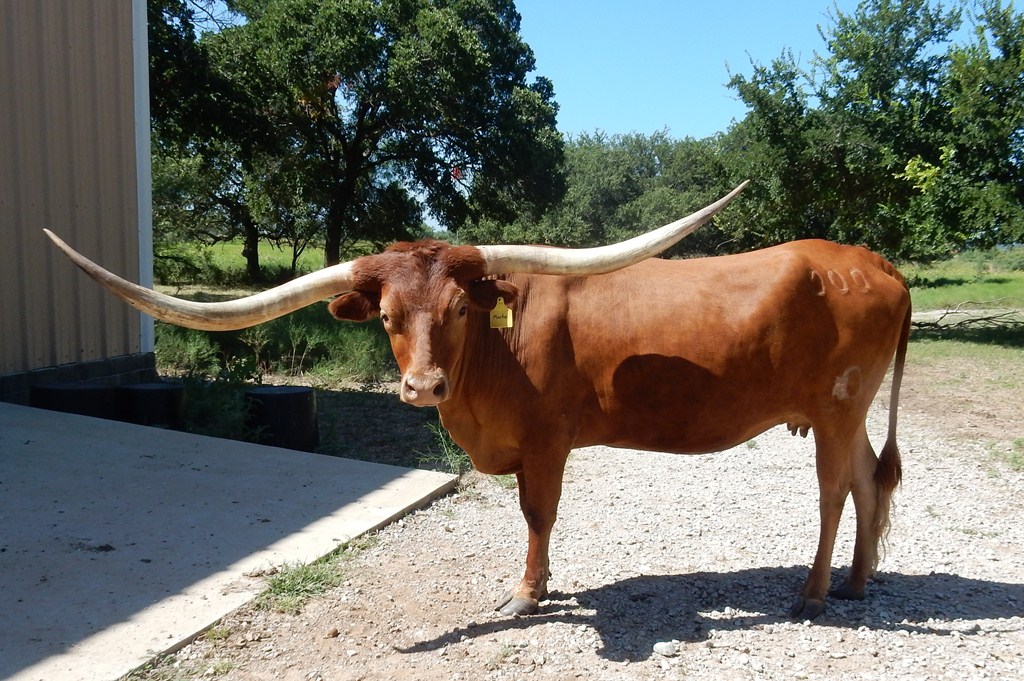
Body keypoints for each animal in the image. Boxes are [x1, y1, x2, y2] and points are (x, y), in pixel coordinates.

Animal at [45, 181, 912, 620]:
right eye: (387, 317)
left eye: (461, 309)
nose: (422, 385)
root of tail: (871, 261)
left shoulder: (548, 441)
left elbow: (538, 513)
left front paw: (528, 591)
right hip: (847, 412)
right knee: (870, 481)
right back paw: (858, 582)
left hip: (836, 406)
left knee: (835, 490)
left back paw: (814, 591)